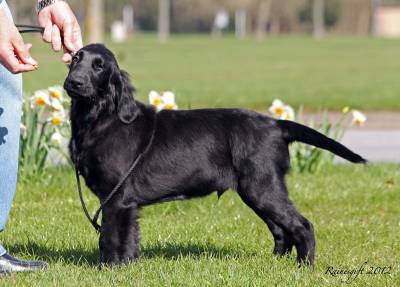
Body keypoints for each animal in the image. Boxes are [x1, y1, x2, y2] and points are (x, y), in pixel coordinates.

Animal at [64, 44, 368, 266]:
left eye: (99, 66)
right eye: (75, 59)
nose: (74, 82)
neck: (100, 118)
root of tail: (274, 124)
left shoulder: (118, 199)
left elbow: (112, 237)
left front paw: (110, 268)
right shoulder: (119, 201)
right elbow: (124, 238)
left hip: (262, 187)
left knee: (303, 226)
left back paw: (304, 266)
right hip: (258, 191)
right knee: (282, 230)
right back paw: (274, 264)